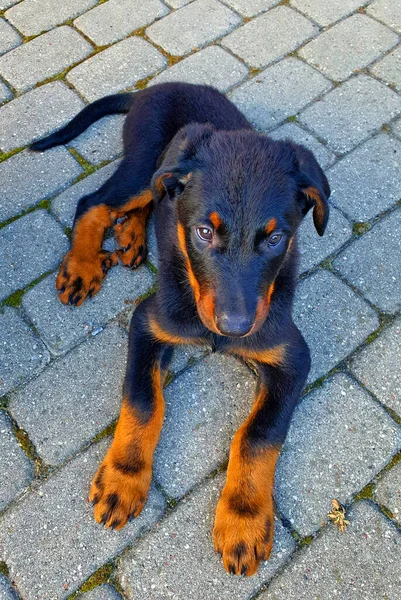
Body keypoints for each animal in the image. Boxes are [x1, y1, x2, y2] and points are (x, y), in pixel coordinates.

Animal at [32, 82, 328, 576]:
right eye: (204, 233)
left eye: (275, 238)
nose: (235, 327)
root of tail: (153, 88)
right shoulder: (148, 323)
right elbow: (143, 401)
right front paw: (124, 478)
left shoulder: (291, 354)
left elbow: (260, 434)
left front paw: (244, 517)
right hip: (142, 166)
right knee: (96, 202)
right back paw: (83, 264)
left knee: (150, 203)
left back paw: (131, 240)